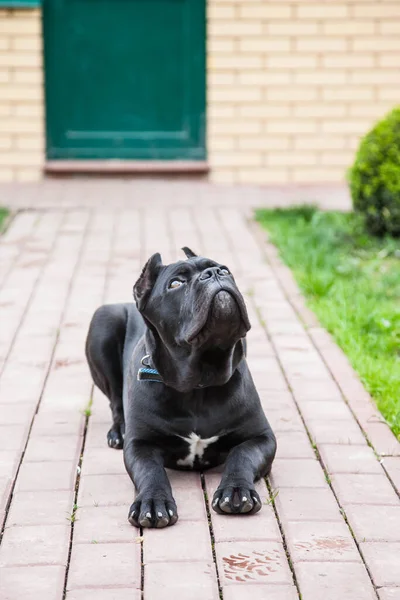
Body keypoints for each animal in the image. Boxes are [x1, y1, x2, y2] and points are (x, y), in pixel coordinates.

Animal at [86, 248, 276, 528]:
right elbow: (150, 472)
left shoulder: (261, 437)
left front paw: (235, 491)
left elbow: (242, 456)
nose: (213, 273)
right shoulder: (140, 444)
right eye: (175, 284)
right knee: (116, 402)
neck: (199, 383)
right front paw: (152, 503)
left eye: (225, 269)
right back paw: (118, 431)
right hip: (104, 320)